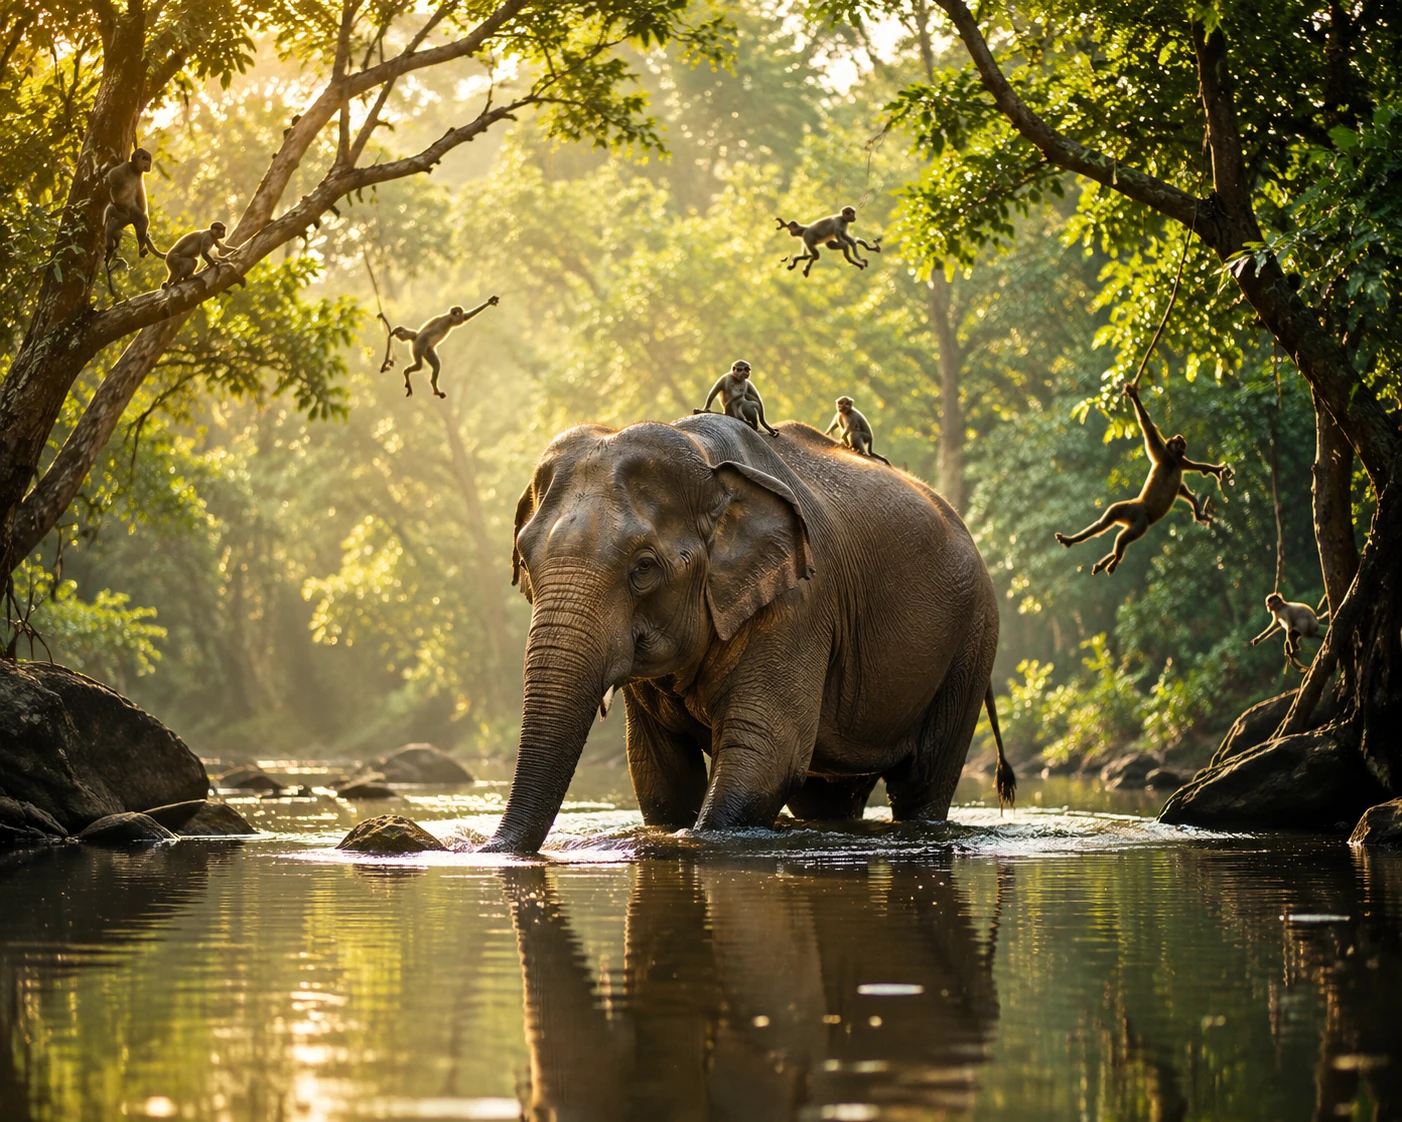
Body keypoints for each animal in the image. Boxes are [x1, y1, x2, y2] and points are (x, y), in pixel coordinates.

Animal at [483, 412, 1013, 853]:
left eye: (644, 568)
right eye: (525, 561)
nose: (487, 849)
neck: (704, 459)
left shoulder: (800, 603)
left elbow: (765, 753)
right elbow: (659, 774)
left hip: (973, 637)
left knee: (923, 779)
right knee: (827, 797)